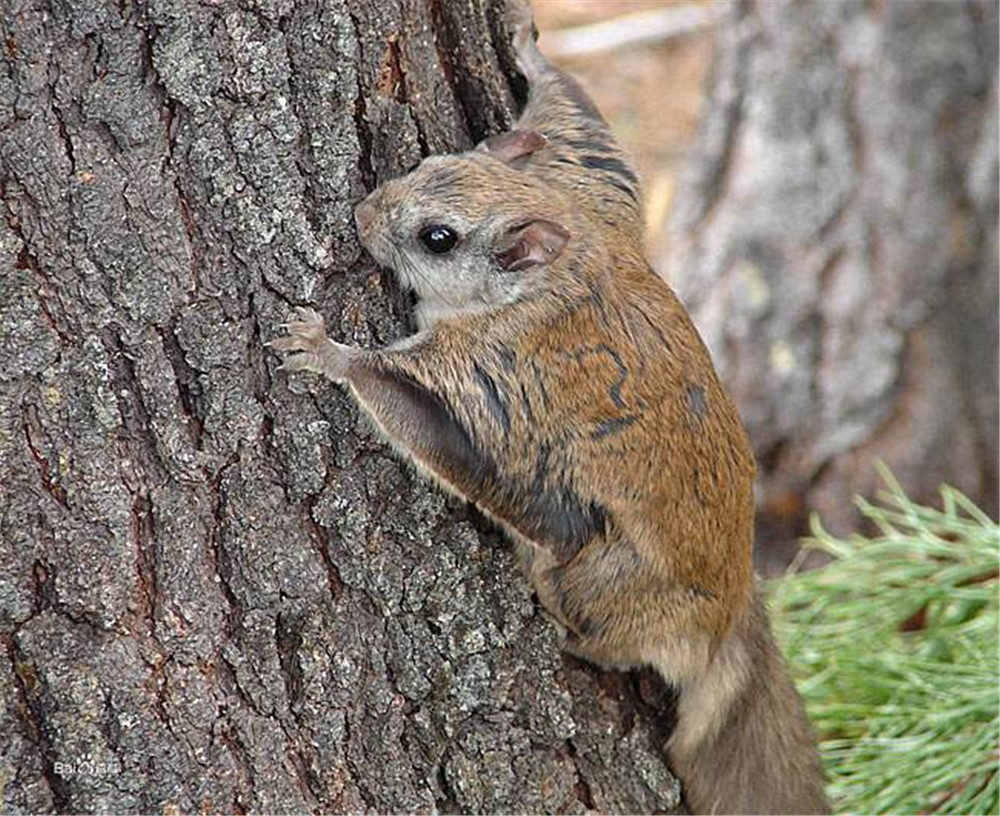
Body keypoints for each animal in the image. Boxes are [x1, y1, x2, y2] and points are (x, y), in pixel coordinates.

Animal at [270, 3, 832, 812]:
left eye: (437, 238)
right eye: (428, 162)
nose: (364, 211)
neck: (555, 274)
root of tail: (729, 617)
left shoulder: (491, 375)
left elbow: (433, 426)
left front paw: (329, 353)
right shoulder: (597, 192)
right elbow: (585, 127)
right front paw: (529, 48)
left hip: (604, 575)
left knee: (604, 628)